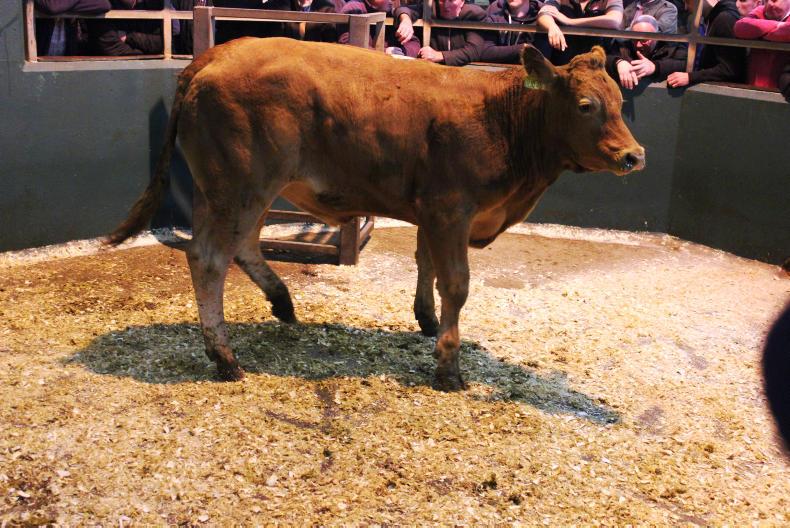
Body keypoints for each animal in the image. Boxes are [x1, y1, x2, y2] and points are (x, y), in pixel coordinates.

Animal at [107, 38, 645, 391]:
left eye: (620, 100)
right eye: (585, 104)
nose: (634, 156)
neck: (501, 117)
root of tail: (215, 54)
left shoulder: (433, 212)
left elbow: (426, 266)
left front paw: (427, 321)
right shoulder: (451, 209)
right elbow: (456, 283)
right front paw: (448, 366)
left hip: (229, 191)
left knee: (242, 246)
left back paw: (282, 301)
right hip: (238, 186)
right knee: (208, 259)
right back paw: (224, 358)